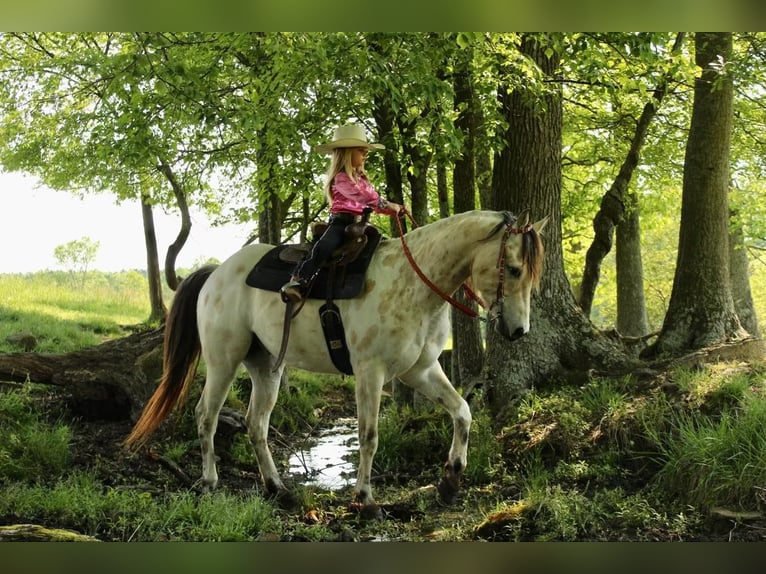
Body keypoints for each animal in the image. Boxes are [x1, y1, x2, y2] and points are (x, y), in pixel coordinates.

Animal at [124, 209, 544, 516]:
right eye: (513, 269)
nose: (519, 331)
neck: (413, 283)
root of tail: (216, 273)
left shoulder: (421, 369)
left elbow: (462, 412)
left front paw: (450, 480)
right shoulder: (370, 373)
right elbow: (369, 436)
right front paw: (365, 500)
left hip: (267, 367)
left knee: (256, 424)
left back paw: (278, 490)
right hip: (223, 361)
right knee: (206, 415)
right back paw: (210, 482)